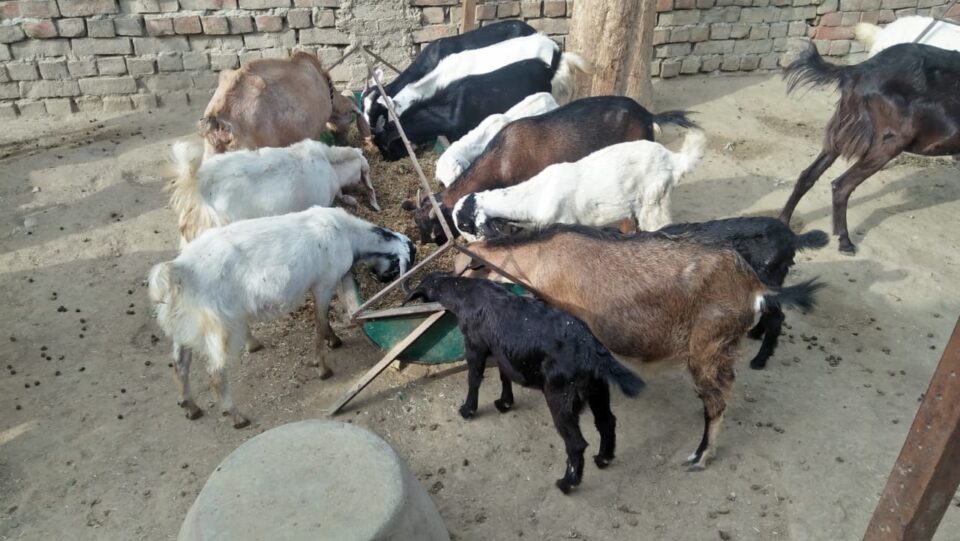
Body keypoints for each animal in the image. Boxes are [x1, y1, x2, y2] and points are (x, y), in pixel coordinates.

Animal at [148, 206, 415, 428]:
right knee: (215, 373)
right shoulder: (324, 283)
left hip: (183, 324)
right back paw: (236, 417)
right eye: (398, 268)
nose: (383, 279)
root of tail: (180, 270)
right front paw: (323, 367)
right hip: (222, 326)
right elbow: (319, 322)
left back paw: (190, 406)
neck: (348, 233)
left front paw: (333, 340)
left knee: (180, 363)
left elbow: (323, 321)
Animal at [403, 273, 645, 493]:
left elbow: (474, 379)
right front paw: (505, 403)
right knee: (607, 422)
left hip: (560, 399)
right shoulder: (502, 352)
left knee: (576, 444)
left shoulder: (475, 347)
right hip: (598, 391)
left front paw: (467, 409)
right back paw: (604, 458)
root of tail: (590, 349)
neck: (467, 293)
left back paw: (567, 483)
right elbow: (504, 376)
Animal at [781, 42, 960, 253]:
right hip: (889, 142)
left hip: (843, 128)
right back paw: (844, 241)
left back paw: (783, 222)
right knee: (842, 185)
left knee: (807, 176)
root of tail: (858, 70)